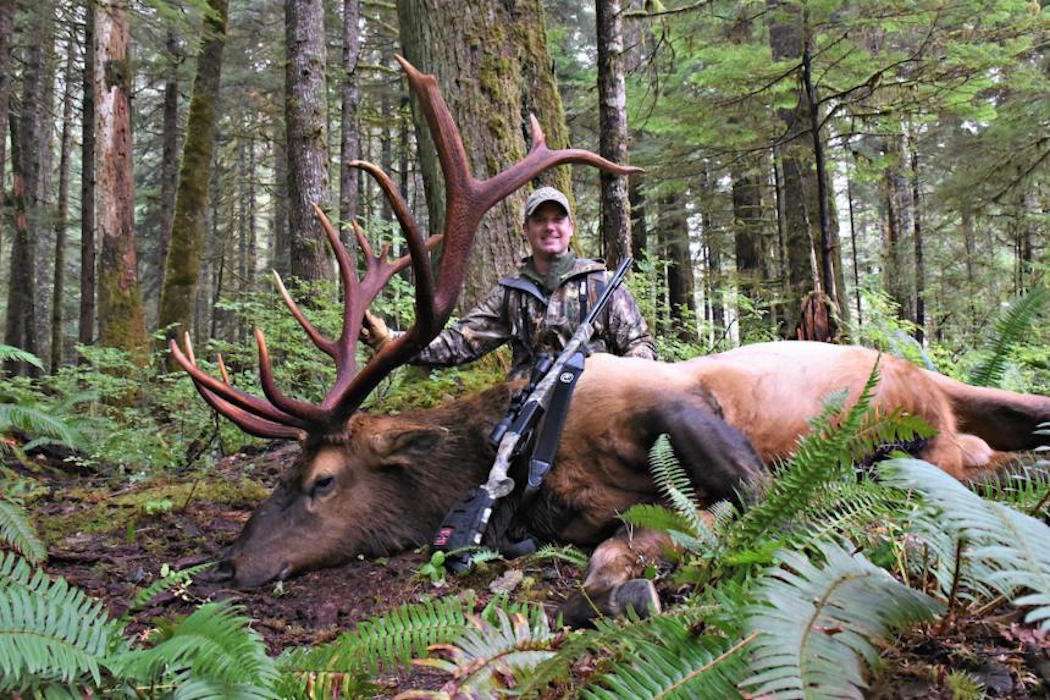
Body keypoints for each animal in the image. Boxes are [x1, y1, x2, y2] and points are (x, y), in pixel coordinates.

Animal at [172, 58, 1050, 627]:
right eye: (281, 474)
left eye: (320, 481)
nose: (232, 562)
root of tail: (924, 380)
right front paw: (637, 577)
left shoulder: (672, 400)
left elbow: (759, 497)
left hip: (922, 413)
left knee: (979, 455)